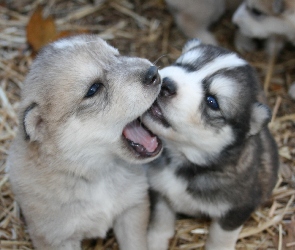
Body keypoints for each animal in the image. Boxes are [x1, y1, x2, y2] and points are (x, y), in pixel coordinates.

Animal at [6, 34, 163, 250]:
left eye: (117, 55)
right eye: (93, 89)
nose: (153, 72)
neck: (97, 174)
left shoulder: (133, 209)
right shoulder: (58, 239)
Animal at [143, 39, 280, 250]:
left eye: (212, 101)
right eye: (182, 64)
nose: (166, 84)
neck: (183, 158)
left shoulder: (236, 211)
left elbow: (220, 238)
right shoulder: (159, 190)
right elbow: (160, 221)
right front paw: (154, 242)